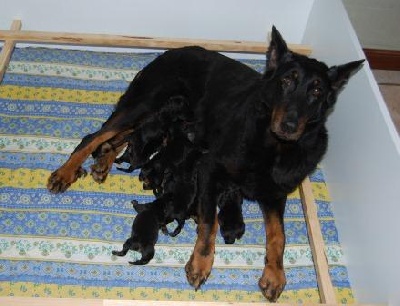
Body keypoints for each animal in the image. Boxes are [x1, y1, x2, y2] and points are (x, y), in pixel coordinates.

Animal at [47, 26, 362, 302]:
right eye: (286, 81)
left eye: (317, 91)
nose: (289, 125)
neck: (273, 146)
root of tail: (172, 51)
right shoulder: (209, 169)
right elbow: (210, 223)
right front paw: (201, 263)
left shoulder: (275, 194)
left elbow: (278, 236)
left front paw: (274, 274)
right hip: (144, 104)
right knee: (95, 136)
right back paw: (65, 171)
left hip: (155, 114)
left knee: (118, 138)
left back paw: (104, 160)